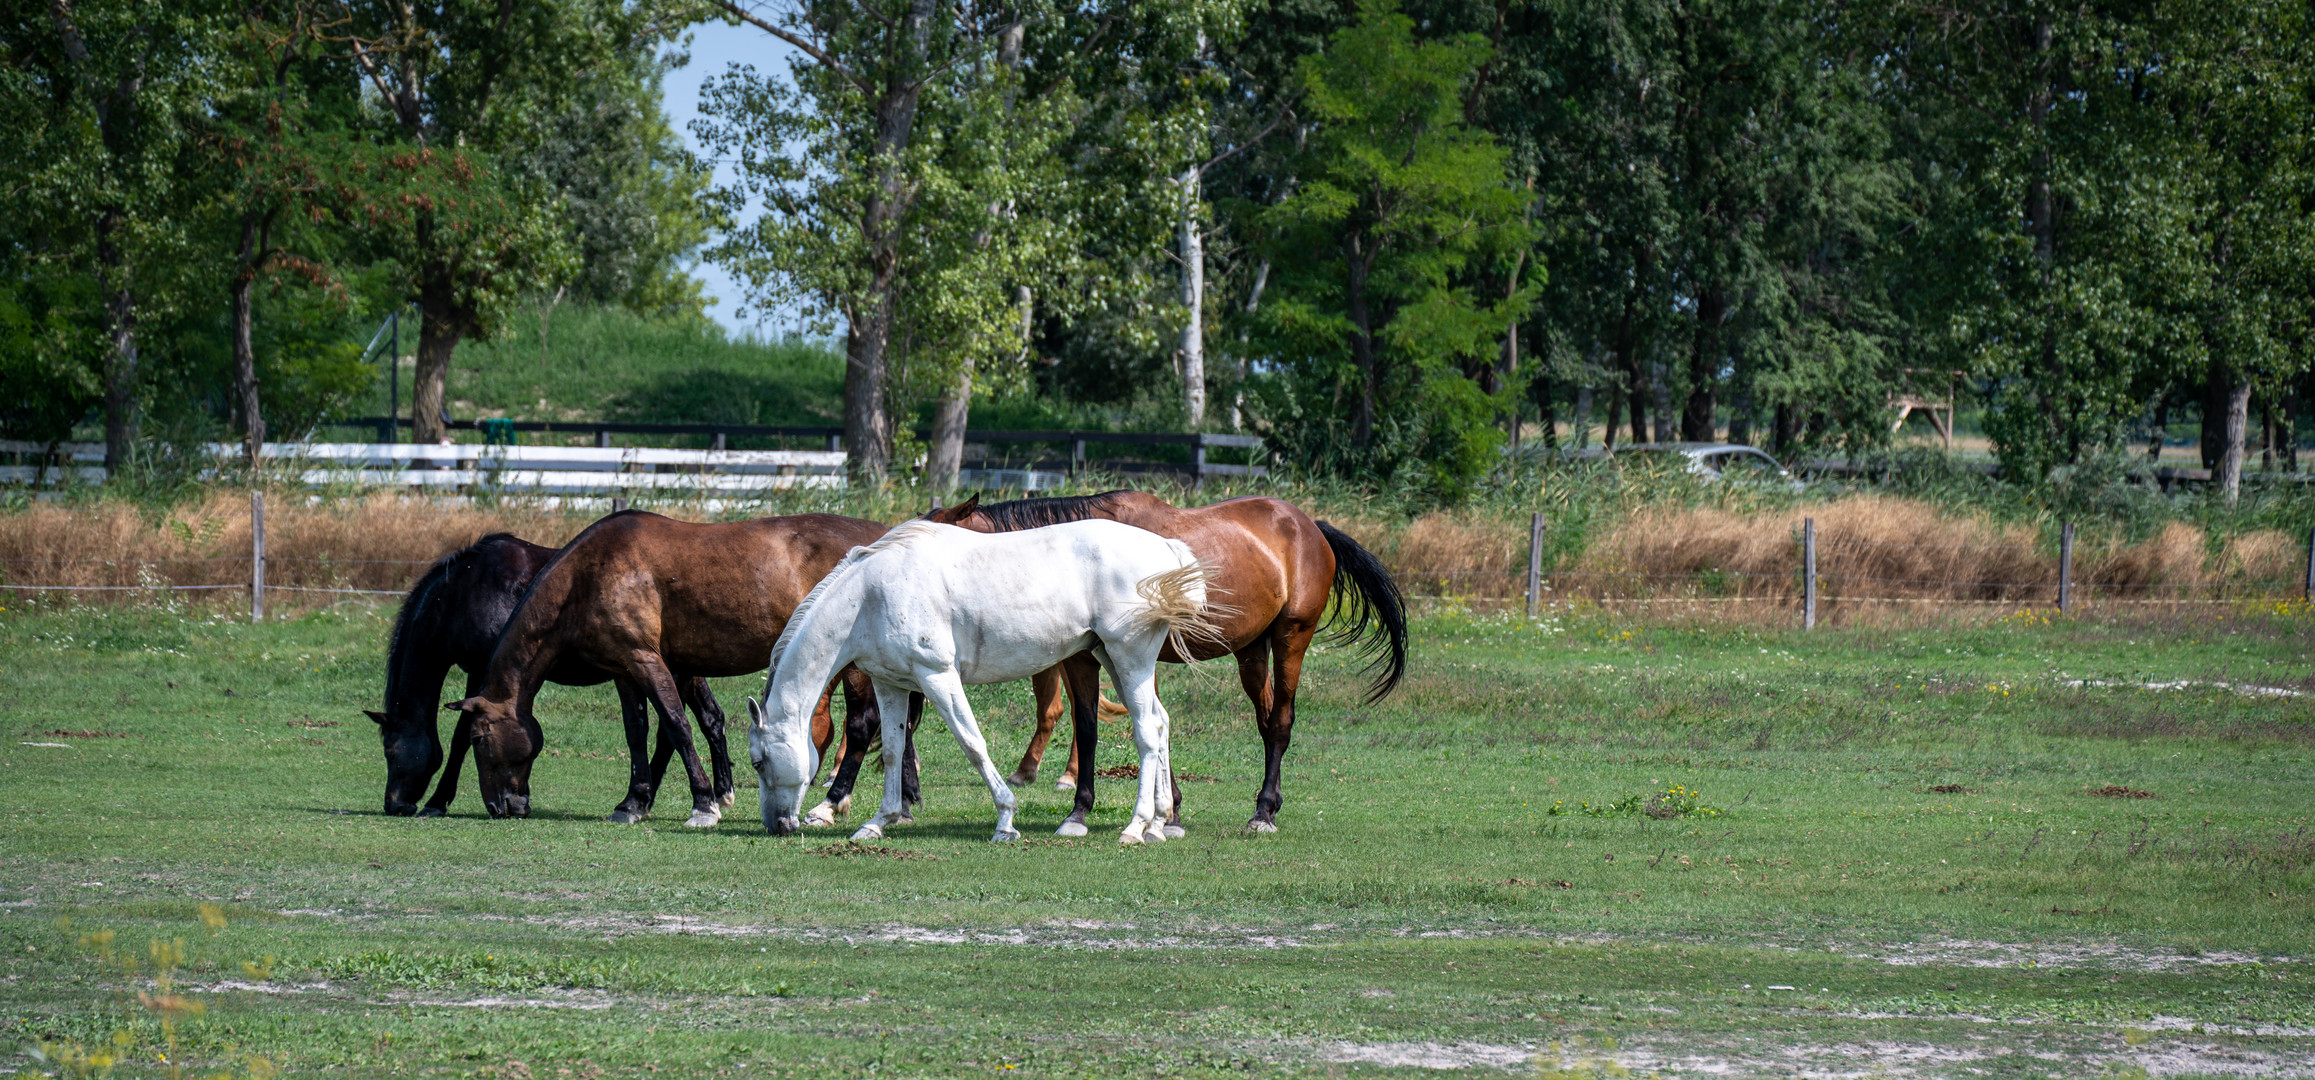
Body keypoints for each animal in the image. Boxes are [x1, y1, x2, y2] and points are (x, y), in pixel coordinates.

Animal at [370, 529, 902, 818]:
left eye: (391, 750)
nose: (394, 802)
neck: (470, 588)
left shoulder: (482, 673)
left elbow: (461, 734)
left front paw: (439, 800)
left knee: (860, 725)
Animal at [745, 522, 1222, 846]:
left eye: (758, 762)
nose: (777, 826)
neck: (870, 596)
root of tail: (1165, 547)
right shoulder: (890, 683)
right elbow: (895, 750)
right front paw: (879, 822)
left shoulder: (937, 676)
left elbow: (972, 743)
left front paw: (1006, 820)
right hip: (1113, 659)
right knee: (1159, 723)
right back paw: (1159, 822)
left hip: (1130, 658)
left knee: (1146, 732)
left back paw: (1136, 826)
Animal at [926, 492, 1407, 837]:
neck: (1077, 555)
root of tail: (1310, 527)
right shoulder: (1083, 660)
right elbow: (1091, 726)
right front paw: (1081, 812)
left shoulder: (1137, 657)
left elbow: (1151, 727)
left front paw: (1164, 813)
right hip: (1251, 652)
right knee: (1267, 720)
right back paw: (1269, 803)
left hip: (1292, 639)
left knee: (1282, 721)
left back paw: (1263, 812)